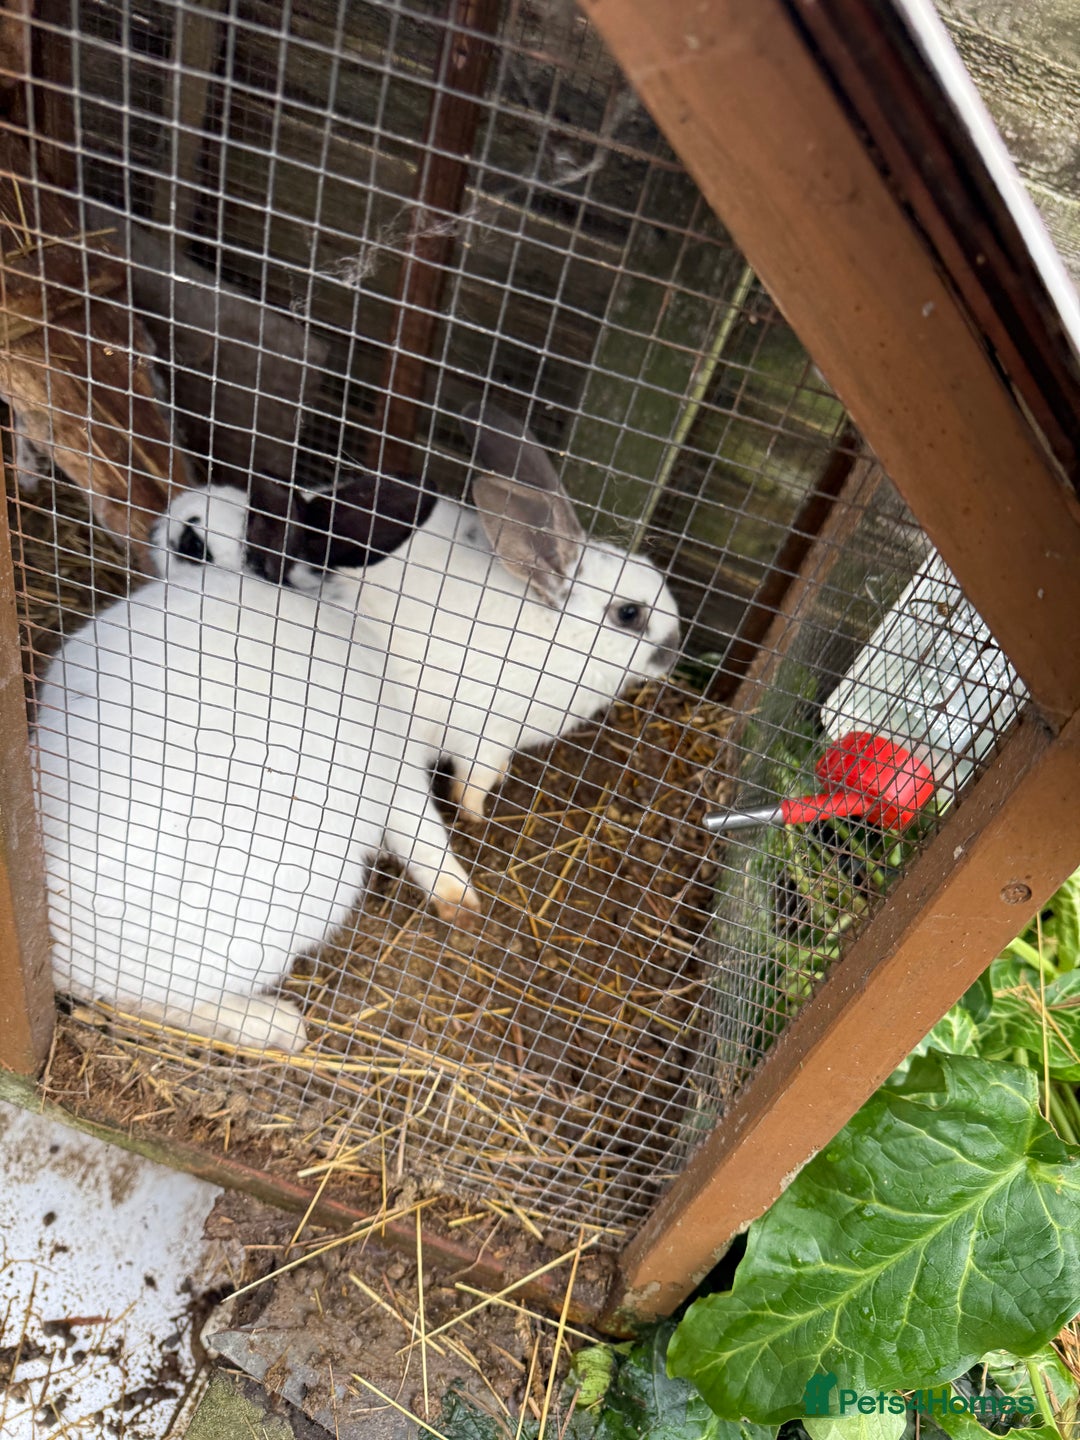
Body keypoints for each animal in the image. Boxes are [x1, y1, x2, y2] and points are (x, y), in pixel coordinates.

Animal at [33, 483, 478, 1054]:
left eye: (192, 543)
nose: (156, 525)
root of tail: (60, 939)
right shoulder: (393, 766)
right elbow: (424, 840)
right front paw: (464, 904)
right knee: (147, 999)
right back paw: (275, 1025)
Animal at [281, 404, 683, 820]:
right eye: (629, 614)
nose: (673, 651)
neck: (560, 634)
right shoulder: (488, 736)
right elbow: (474, 781)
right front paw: (477, 814)